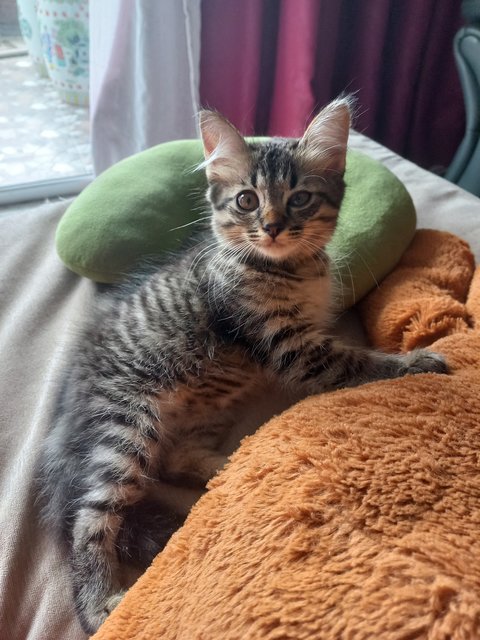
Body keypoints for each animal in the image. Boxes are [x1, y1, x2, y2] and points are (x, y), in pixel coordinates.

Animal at [39, 97, 448, 632]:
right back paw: (97, 602)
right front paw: (418, 361)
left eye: (300, 199)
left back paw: (236, 466)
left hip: (207, 407)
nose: (272, 226)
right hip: (125, 424)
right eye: (247, 201)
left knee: (176, 459)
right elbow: (358, 362)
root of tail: (67, 408)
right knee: (89, 517)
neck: (290, 267)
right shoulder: (294, 348)